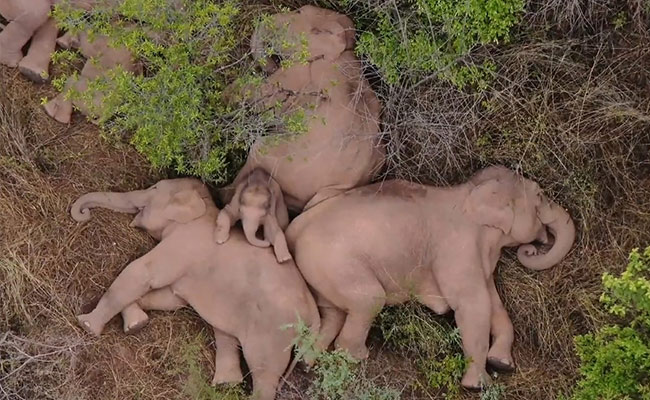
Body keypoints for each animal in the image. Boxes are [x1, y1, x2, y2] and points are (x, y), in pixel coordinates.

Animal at [70, 178, 320, 400]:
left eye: (154, 188)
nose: (84, 213)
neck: (205, 207)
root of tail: (314, 315)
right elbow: (169, 299)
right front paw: (136, 324)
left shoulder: (183, 244)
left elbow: (142, 273)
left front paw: (86, 325)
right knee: (226, 334)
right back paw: (226, 384)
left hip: (274, 332)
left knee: (264, 372)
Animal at [285, 165, 576, 390]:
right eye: (540, 196)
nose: (532, 249)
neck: (470, 192)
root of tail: (295, 227)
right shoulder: (457, 248)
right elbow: (473, 305)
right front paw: (478, 386)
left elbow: (494, 304)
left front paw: (502, 364)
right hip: (334, 262)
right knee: (369, 301)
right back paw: (357, 357)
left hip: (320, 271)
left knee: (332, 313)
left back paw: (308, 362)